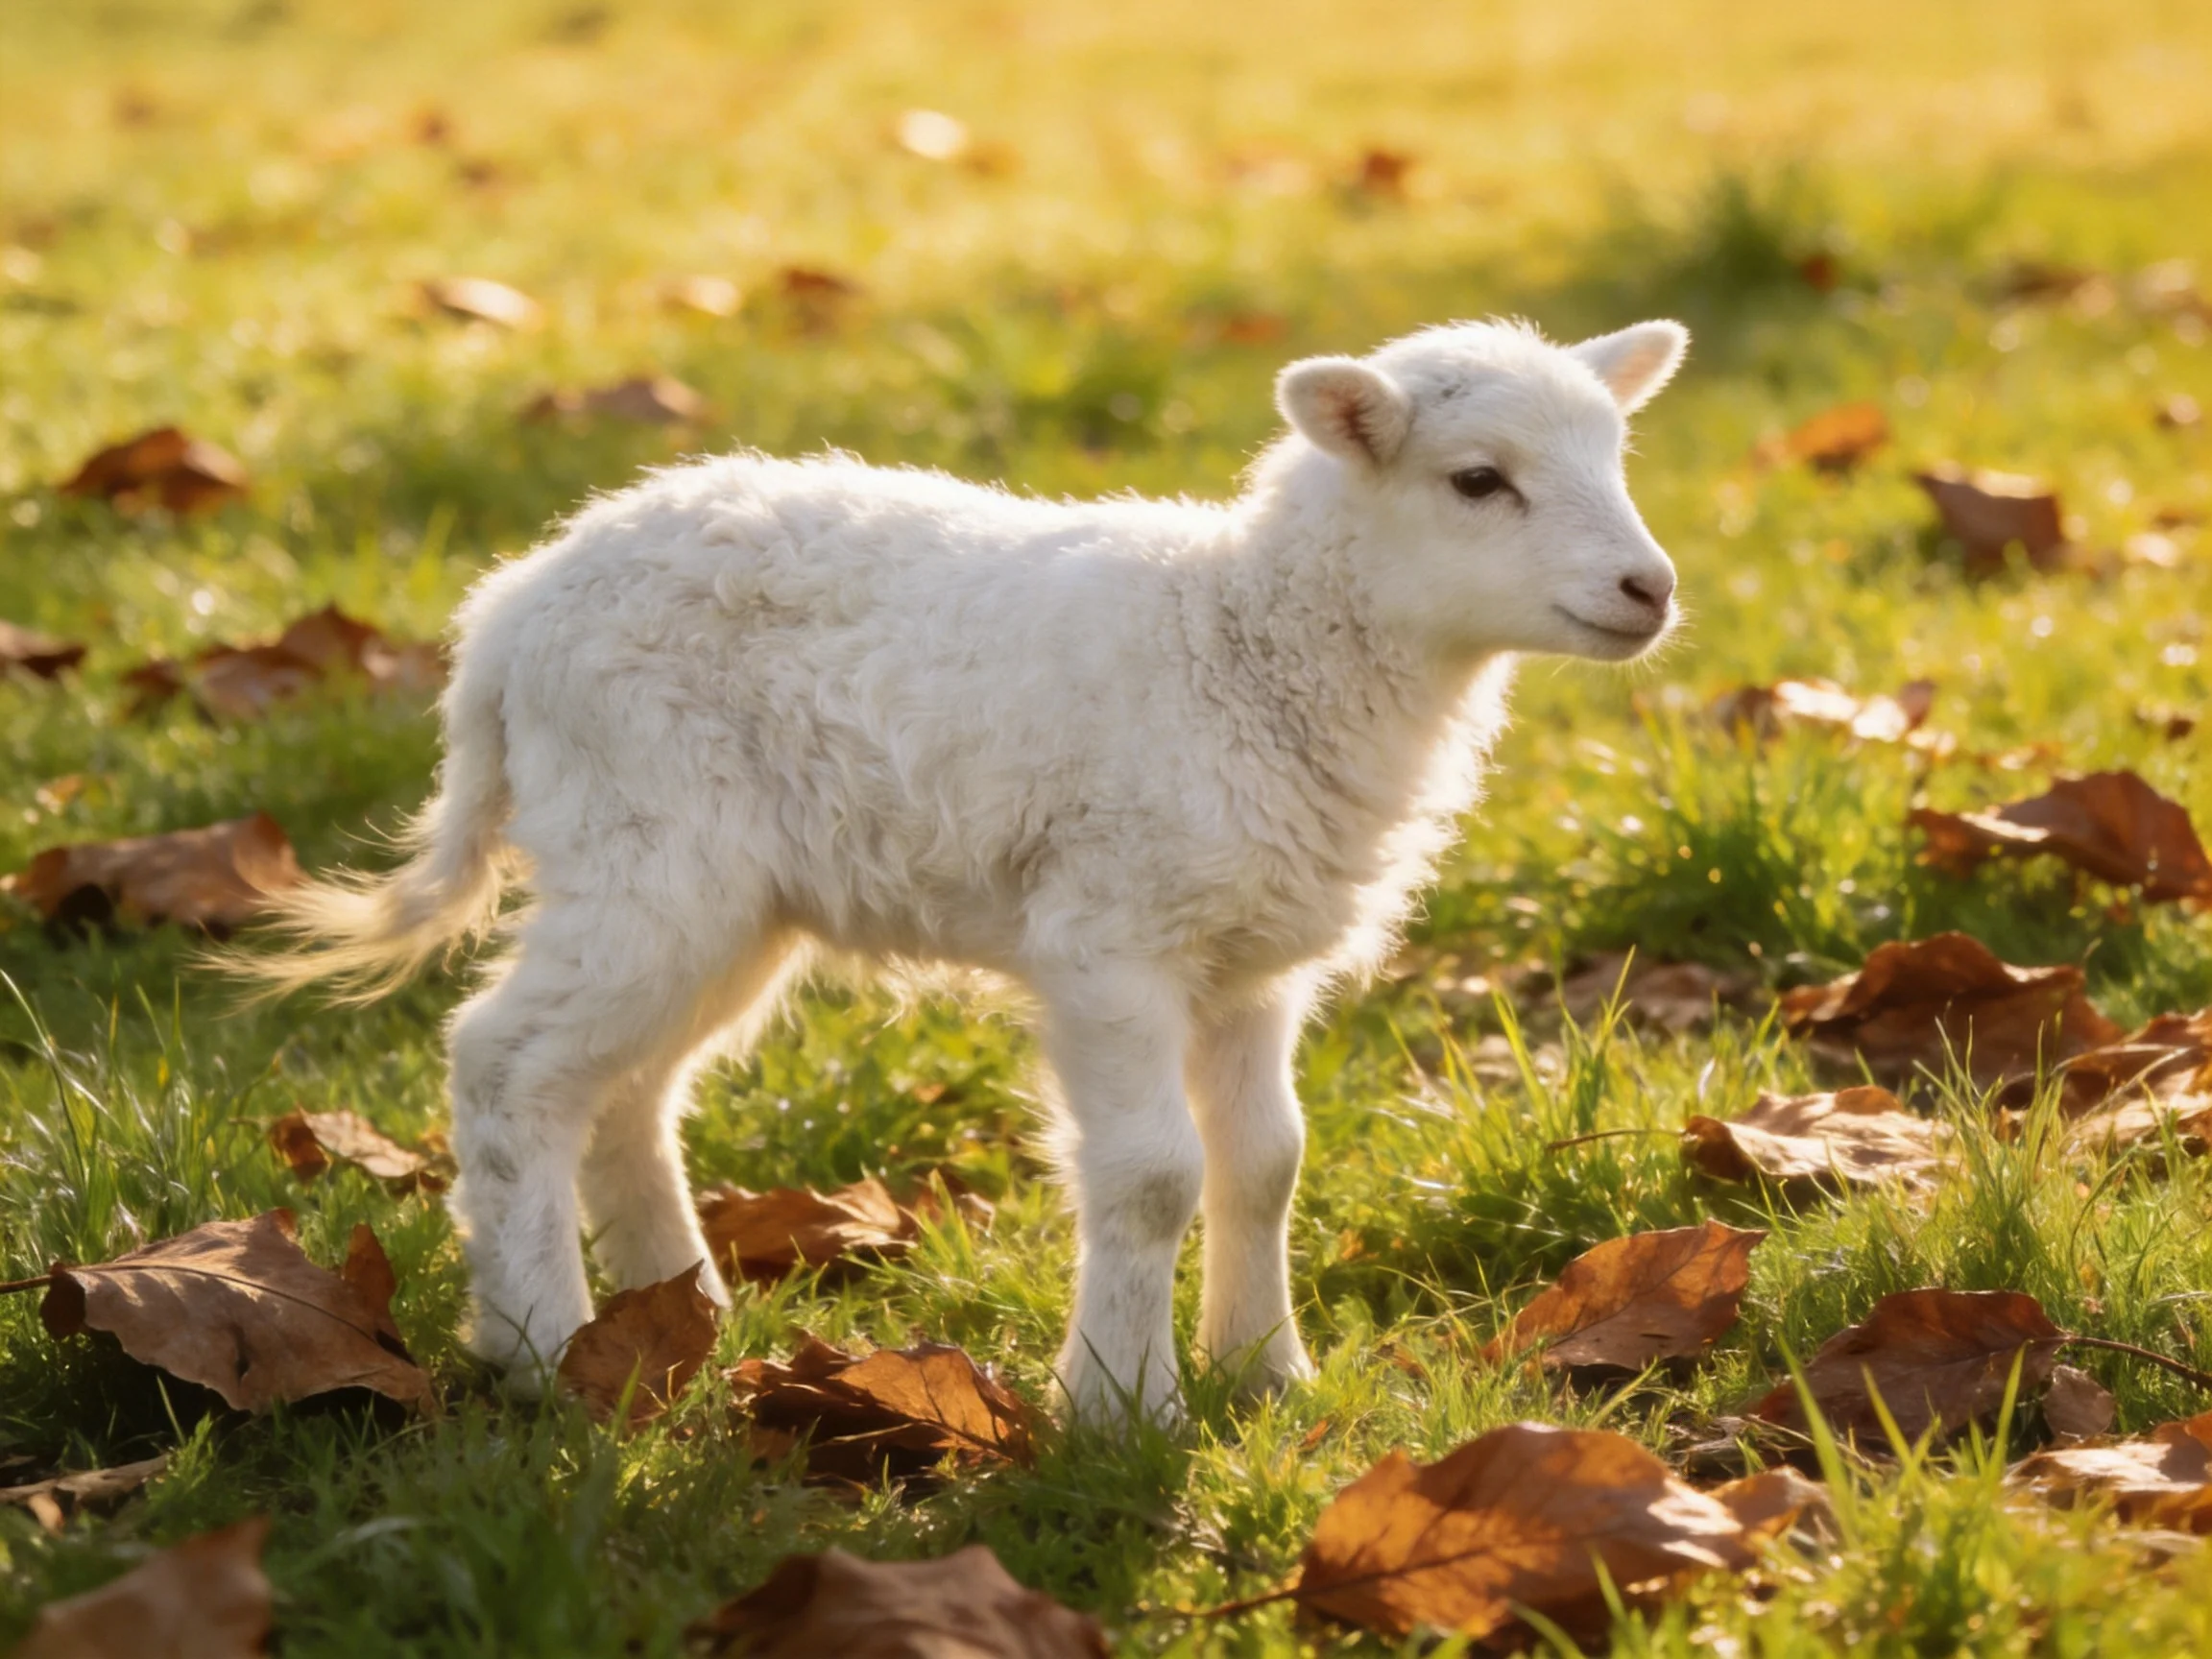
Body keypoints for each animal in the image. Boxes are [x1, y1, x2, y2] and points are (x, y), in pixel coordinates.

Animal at [235, 315, 1689, 1423]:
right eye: (1478, 480)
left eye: (1618, 456)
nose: (1651, 589)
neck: (1246, 643)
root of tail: (507, 614)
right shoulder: (1109, 933)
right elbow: (1153, 1173)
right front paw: (1123, 1410)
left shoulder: (1247, 958)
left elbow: (1265, 1159)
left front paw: (1267, 1374)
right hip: (646, 845)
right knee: (508, 1064)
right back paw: (539, 1347)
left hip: (717, 897)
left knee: (626, 1094)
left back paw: (674, 1319)